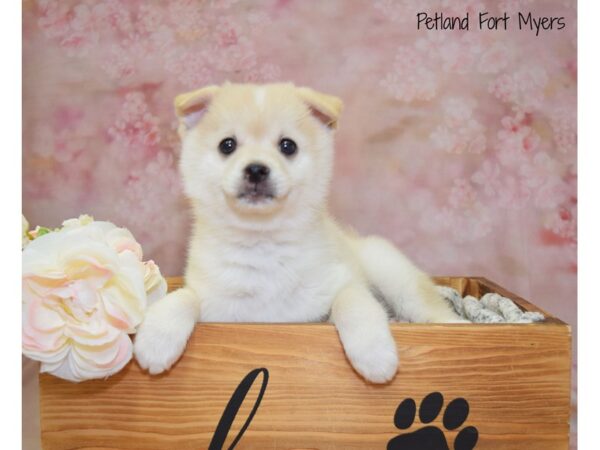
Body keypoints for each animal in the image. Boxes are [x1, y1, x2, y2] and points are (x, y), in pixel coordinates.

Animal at [135, 82, 464, 382]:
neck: (263, 244)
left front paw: (373, 353)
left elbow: (354, 302)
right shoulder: (215, 302)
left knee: (428, 306)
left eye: (287, 146)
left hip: (392, 274)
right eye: (227, 145)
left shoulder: (339, 284)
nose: (256, 169)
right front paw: (156, 339)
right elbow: (183, 298)